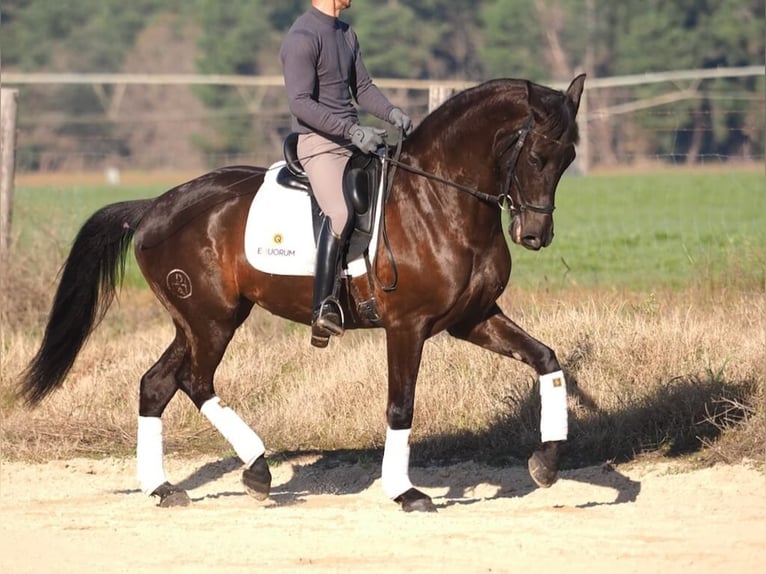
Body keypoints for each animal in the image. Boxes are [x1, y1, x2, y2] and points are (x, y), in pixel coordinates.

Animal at [21, 75, 592, 512]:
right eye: (537, 157)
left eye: (569, 158)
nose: (535, 236)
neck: (440, 199)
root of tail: (155, 207)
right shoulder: (407, 327)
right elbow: (400, 407)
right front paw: (404, 492)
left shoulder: (471, 318)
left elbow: (546, 359)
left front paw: (545, 464)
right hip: (212, 320)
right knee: (193, 380)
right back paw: (255, 470)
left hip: (200, 321)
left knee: (157, 384)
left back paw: (164, 488)